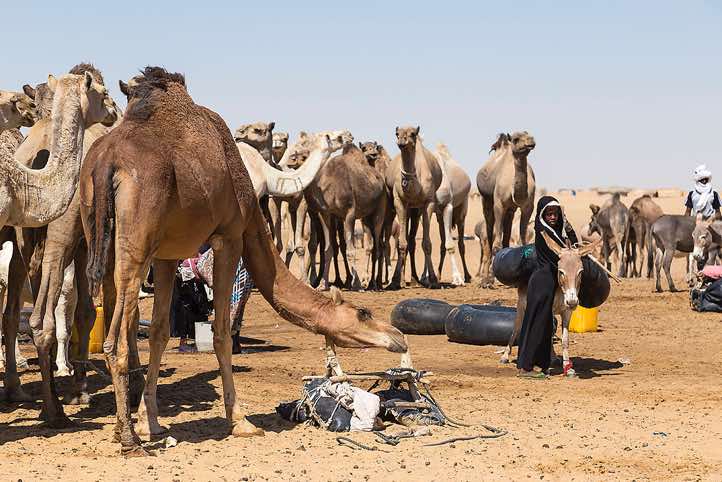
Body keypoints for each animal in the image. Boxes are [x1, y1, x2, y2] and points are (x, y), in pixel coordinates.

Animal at [79, 67, 406, 455]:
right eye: (363, 313)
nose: (399, 337)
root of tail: (107, 162)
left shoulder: (167, 254)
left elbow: (159, 331)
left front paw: (151, 422)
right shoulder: (230, 237)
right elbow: (221, 330)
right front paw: (241, 421)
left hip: (99, 230)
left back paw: (123, 429)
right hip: (136, 240)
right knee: (116, 340)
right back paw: (129, 440)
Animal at [385, 127, 443, 290]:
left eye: (412, 134)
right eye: (397, 134)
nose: (402, 141)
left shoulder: (428, 202)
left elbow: (427, 243)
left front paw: (433, 280)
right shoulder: (400, 201)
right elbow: (401, 243)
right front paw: (394, 280)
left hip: (416, 210)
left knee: (412, 240)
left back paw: (415, 279)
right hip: (402, 208)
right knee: (402, 240)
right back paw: (402, 280)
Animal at [433, 143, 472, 286]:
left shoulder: (448, 207)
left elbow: (450, 245)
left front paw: (457, 278)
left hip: (462, 210)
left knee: (461, 244)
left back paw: (467, 276)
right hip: (439, 217)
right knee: (442, 244)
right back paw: (437, 275)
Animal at [476, 132, 536, 287]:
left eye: (529, 135)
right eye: (516, 139)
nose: (531, 142)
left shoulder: (528, 206)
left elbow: (523, 241)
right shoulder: (499, 205)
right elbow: (496, 246)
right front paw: (489, 280)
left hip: (511, 210)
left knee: (506, 236)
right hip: (486, 201)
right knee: (490, 235)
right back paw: (484, 280)